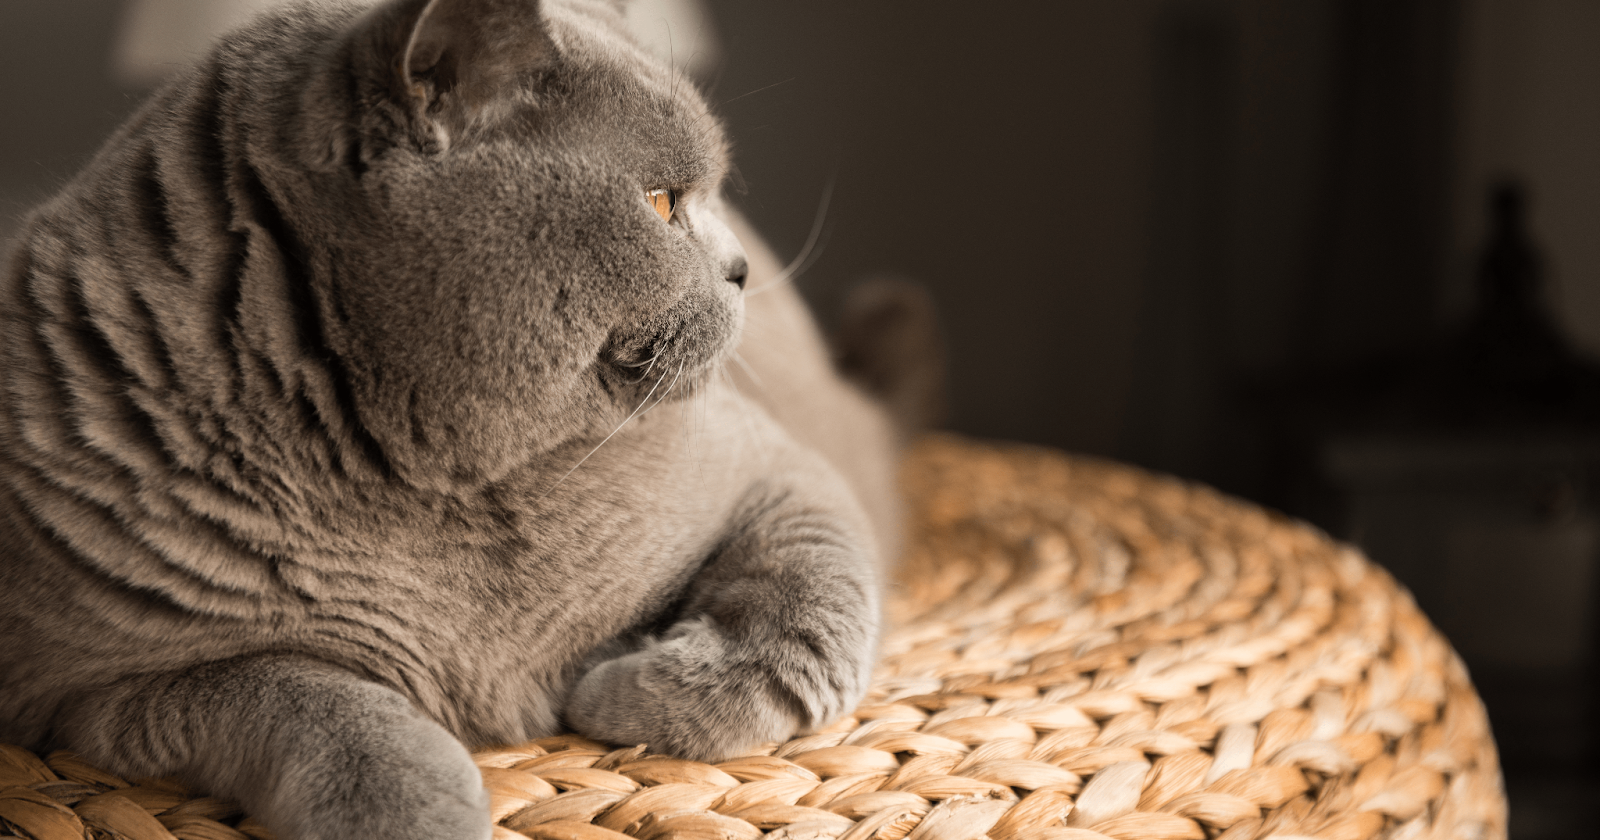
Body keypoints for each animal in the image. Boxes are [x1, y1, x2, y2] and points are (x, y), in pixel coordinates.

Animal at [0, 1, 928, 838]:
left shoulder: (781, 473)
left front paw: (618, 686)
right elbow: (320, 706)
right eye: (661, 203)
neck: (439, 490)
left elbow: (807, 618)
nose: (740, 269)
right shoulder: (96, 692)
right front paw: (415, 812)